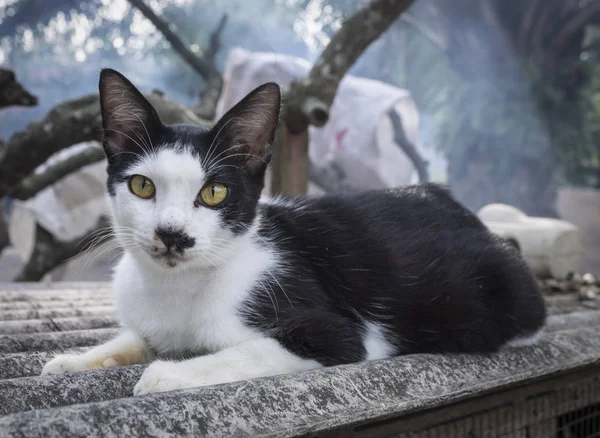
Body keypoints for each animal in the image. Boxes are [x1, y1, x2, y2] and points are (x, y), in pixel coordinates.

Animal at [42, 69, 548, 396]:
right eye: (142, 186)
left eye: (214, 192)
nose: (172, 234)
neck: (178, 287)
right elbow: (135, 338)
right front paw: (75, 359)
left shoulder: (337, 333)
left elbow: (248, 351)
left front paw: (170, 375)